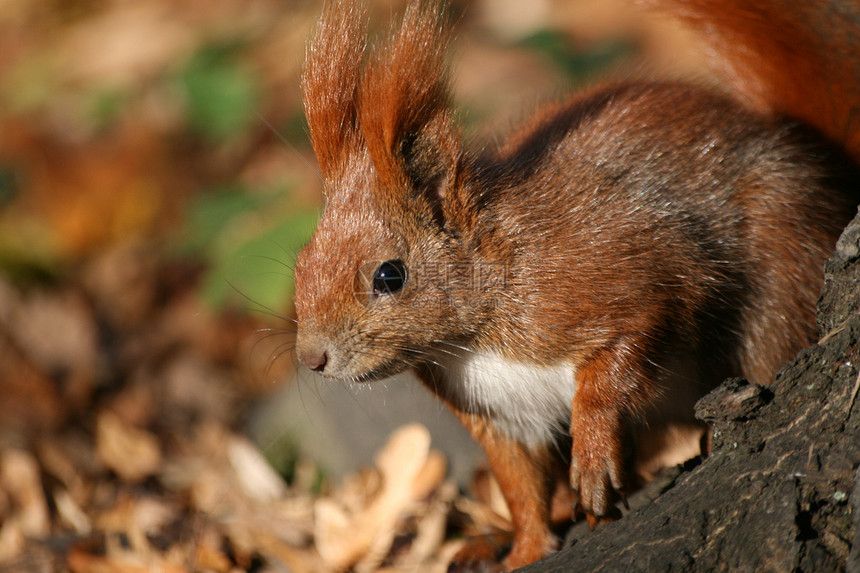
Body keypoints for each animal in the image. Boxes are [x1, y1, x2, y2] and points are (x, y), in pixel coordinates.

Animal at [292, 0, 860, 568]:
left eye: (390, 275)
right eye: (300, 265)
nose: (312, 359)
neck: (469, 340)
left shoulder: (615, 269)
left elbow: (635, 338)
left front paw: (592, 451)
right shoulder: (499, 415)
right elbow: (520, 484)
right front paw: (525, 549)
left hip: (781, 275)